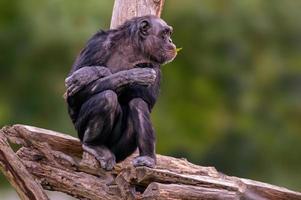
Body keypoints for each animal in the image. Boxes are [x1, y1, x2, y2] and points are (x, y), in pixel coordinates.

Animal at [63, 14, 176, 170]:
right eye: (164, 33)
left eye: (169, 33)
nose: (170, 41)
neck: (133, 48)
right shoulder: (96, 44)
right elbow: (72, 95)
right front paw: (92, 73)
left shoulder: (156, 63)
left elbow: (148, 99)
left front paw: (90, 73)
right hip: (80, 131)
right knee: (106, 97)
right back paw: (94, 145)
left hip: (121, 151)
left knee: (138, 103)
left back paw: (147, 158)